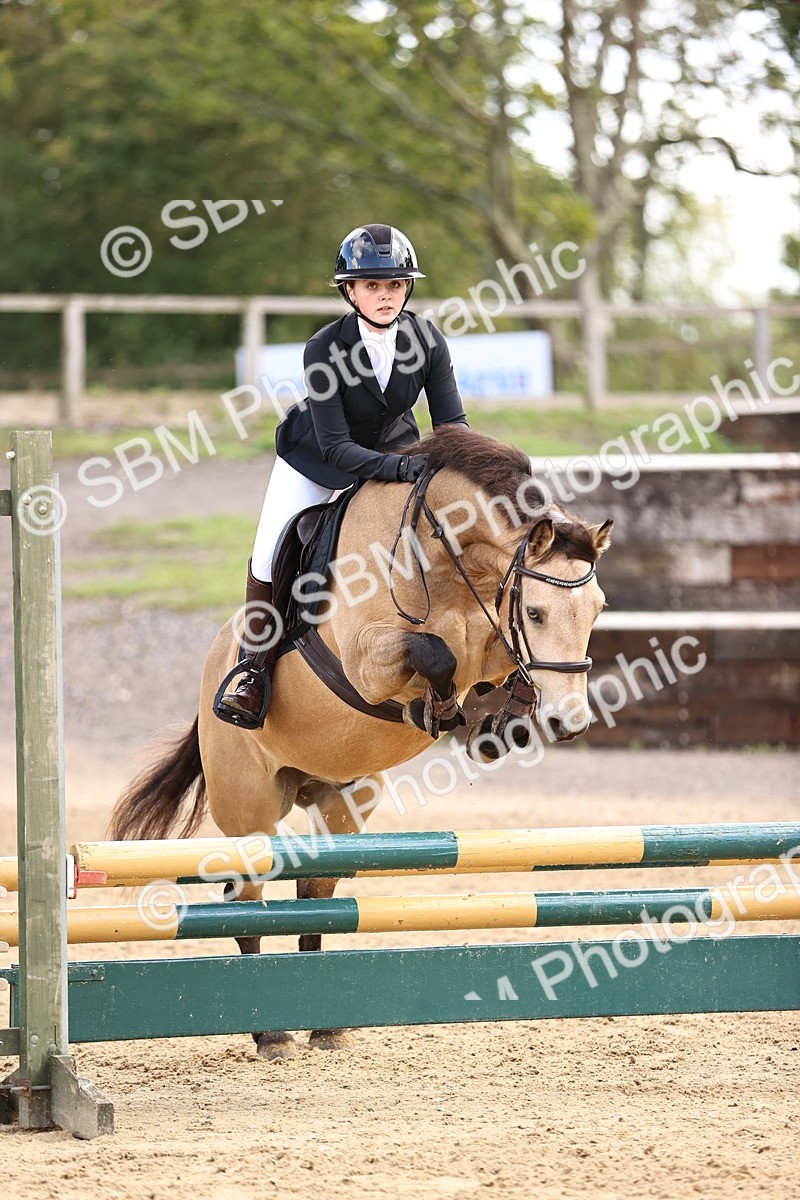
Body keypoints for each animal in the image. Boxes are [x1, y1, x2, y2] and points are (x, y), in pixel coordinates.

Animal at [109, 425, 612, 1059]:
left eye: (597, 610)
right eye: (539, 612)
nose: (570, 722)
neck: (448, 560)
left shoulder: (489, 638)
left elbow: (489, 663)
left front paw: (499, 725)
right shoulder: (367, 662)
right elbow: (434, 654)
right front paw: (438, 707)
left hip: (344, 799)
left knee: (317, 889)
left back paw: (322, 1021)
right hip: (248, 807)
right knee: (245, 897)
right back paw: (271, 1032)